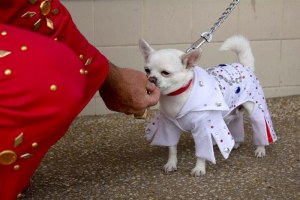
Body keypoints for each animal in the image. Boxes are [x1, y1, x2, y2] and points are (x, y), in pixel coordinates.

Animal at [139, 35, 278, 177]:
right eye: (147, 70)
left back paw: (260, 148)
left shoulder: (203, 130)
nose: (151, 79)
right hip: (231, 110)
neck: (177, 95)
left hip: (255, 108)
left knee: (260, 124)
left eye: (165, 73)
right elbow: (172, 149)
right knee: (236, 119)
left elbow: (202, 153)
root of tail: (244, 65)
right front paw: (171, 164)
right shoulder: (169, 127)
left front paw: (199, 168)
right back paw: (237, 142)